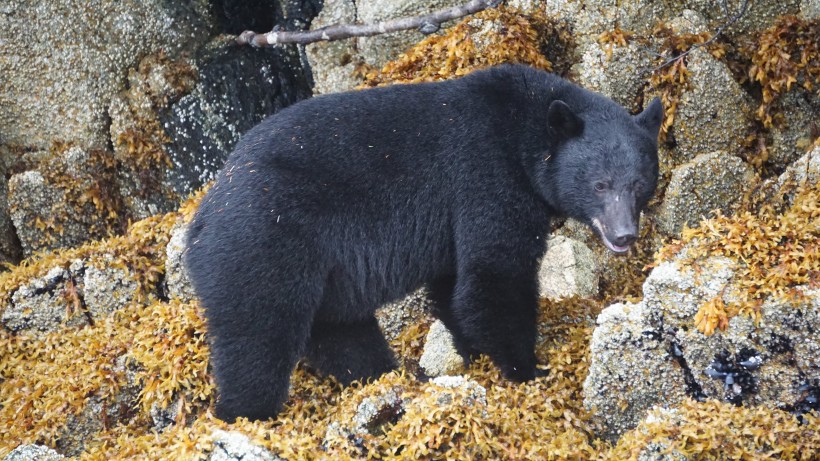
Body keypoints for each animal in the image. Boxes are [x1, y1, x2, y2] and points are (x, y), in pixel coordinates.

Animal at [183, 64, 664, 420]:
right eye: (600, 184)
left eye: (639, 183)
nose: (624, 234)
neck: (521, 129)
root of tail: (200, 221)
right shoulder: (486, 175)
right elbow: (494, 274)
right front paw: (528, 367)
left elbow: (454, 289)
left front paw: (474, 355)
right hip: (262, 245)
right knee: (257, 339)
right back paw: (244, 413)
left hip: (320, 275)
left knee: (341, 331)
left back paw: (386, 380)